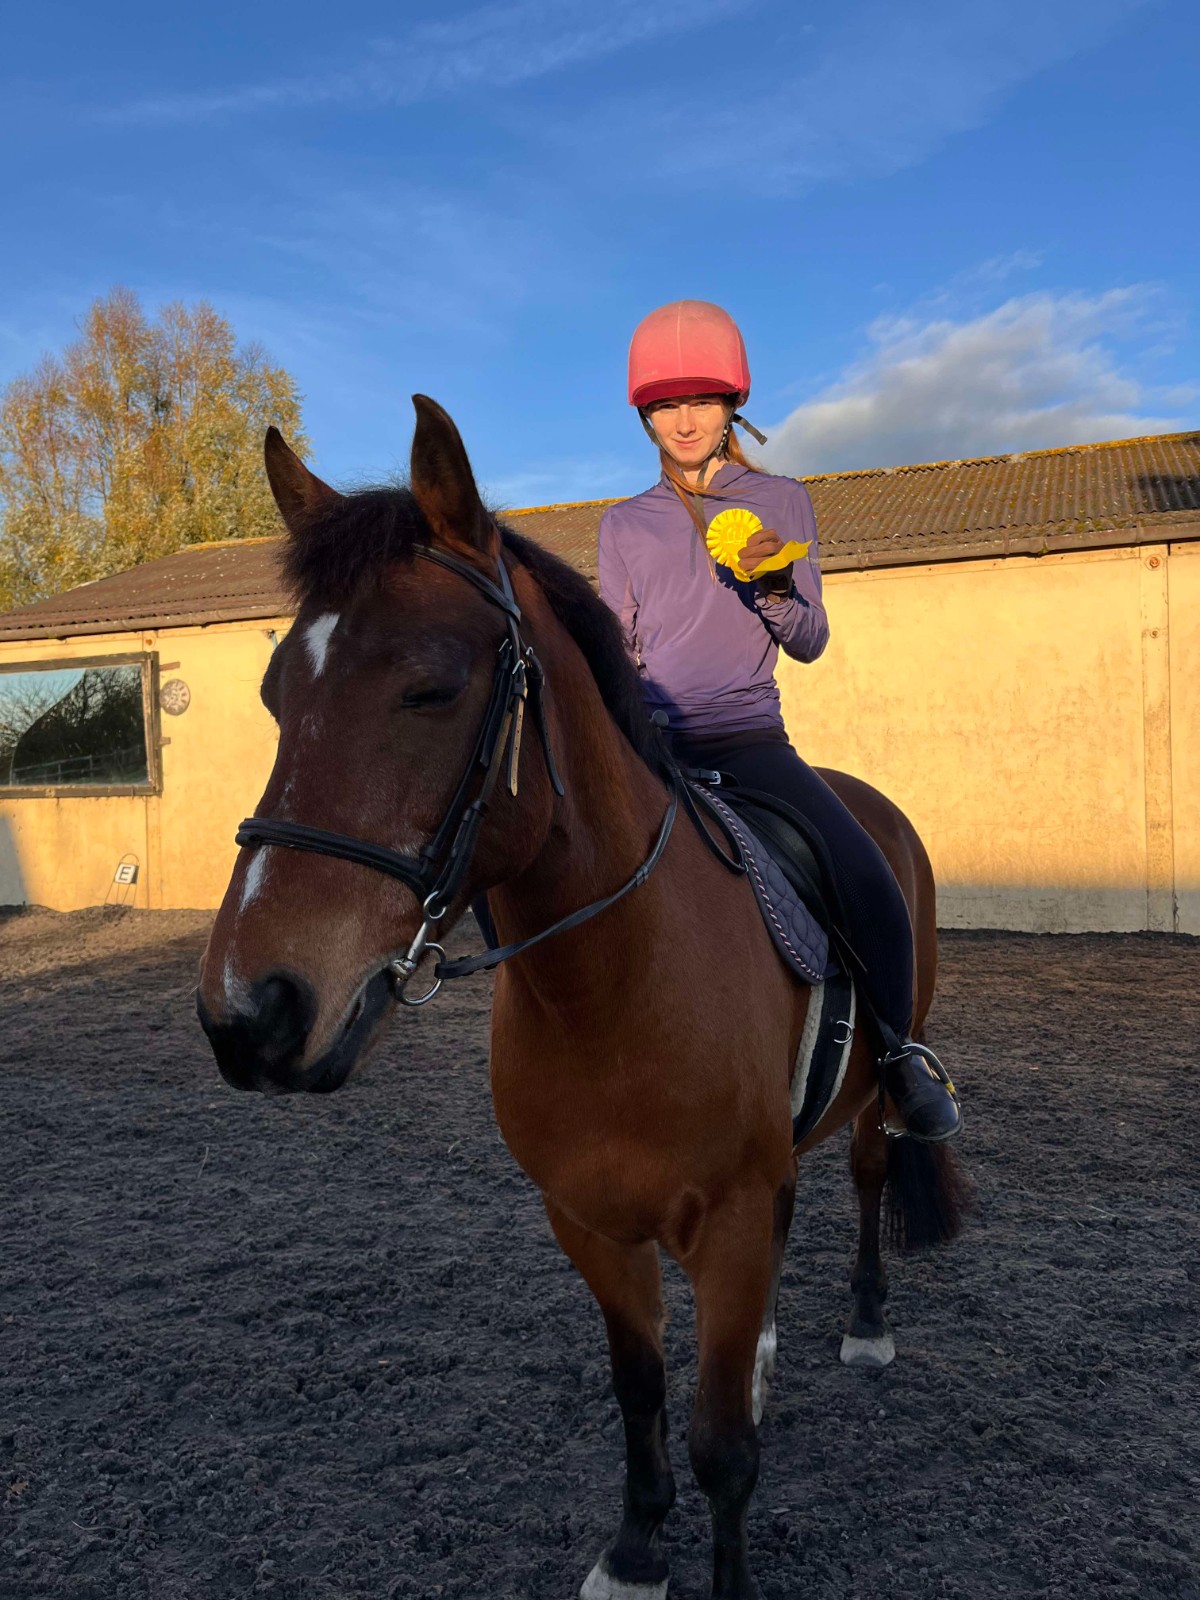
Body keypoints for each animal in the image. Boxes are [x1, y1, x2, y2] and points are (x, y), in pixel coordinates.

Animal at [196, 397, 967, 1600]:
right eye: (279, 696)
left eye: (432, 687)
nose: (251, 1012)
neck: (612, 989)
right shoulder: (590, 1223)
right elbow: (640, 1389)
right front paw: (638, 1547)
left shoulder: (726, 1223)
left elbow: (722, 1450)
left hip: (885, 1083)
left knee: (872, 1166)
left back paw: (867, 1324)